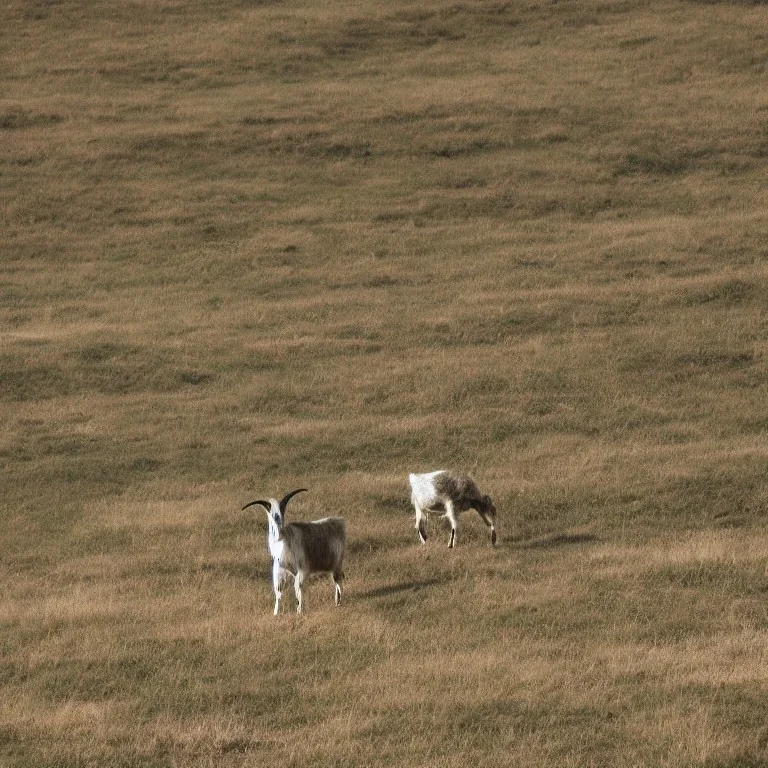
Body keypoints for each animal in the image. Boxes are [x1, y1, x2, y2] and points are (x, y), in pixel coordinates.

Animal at [242, 488, 346, 616]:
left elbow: (298, 589)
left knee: (338, 581)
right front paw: (276, 613)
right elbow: (279, 592)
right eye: (272, 516)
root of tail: (339, 521)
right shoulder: (280, 570)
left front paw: (299, 612)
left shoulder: (302, 570)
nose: (279, 532)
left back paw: (338, 603)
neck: (285, 539)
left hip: (337, 564)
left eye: (281, 514)